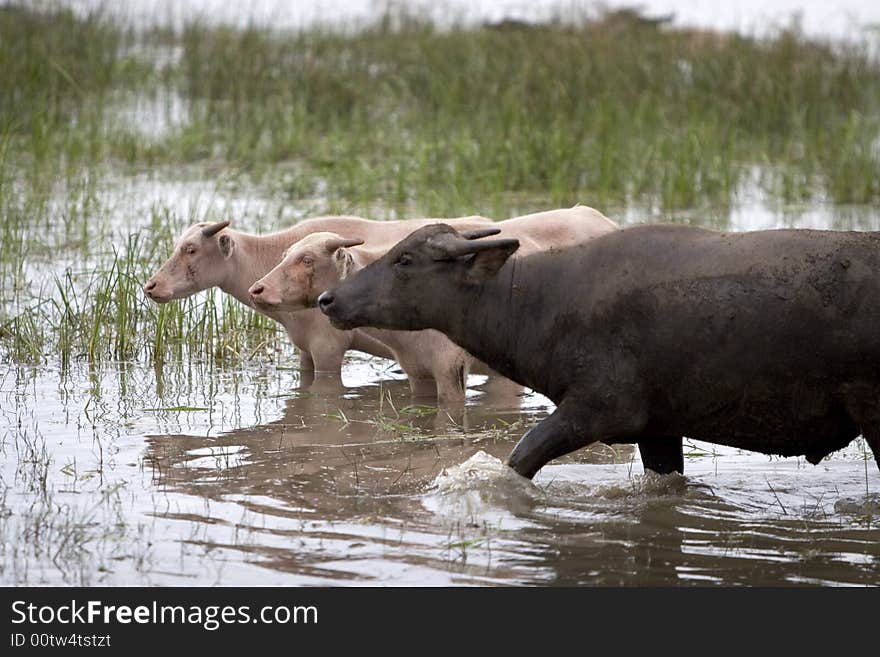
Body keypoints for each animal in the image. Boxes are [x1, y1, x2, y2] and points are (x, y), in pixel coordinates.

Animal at [320, 223, 880, 480]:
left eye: (405, 260)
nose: (329, 299)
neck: (536, 307)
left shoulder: (600, 408)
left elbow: (519, 459)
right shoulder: (659, 426)